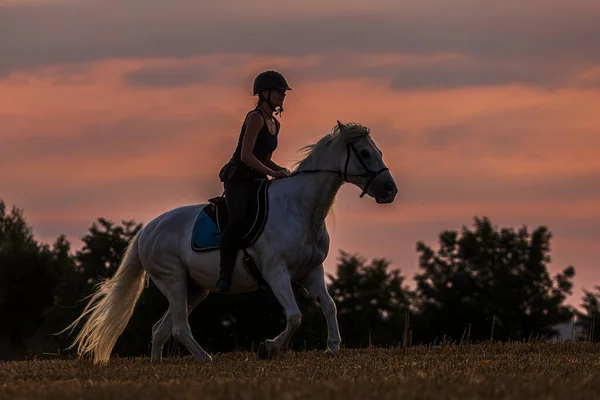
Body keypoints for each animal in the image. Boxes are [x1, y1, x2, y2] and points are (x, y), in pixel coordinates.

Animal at [62, 120, 398, 364]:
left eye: (379, 151)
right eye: (365, 154)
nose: (389, 190)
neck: (301, 208)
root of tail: (146, 231)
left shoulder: (311, 271)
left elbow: (329, 306)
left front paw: (332, 348)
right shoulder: (277, 273)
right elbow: (294, 316)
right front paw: (268, 348)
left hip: (194, 289)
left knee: (161, 329)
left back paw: (158, 365)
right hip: (173, 279)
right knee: (179, 327)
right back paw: (205, 359)